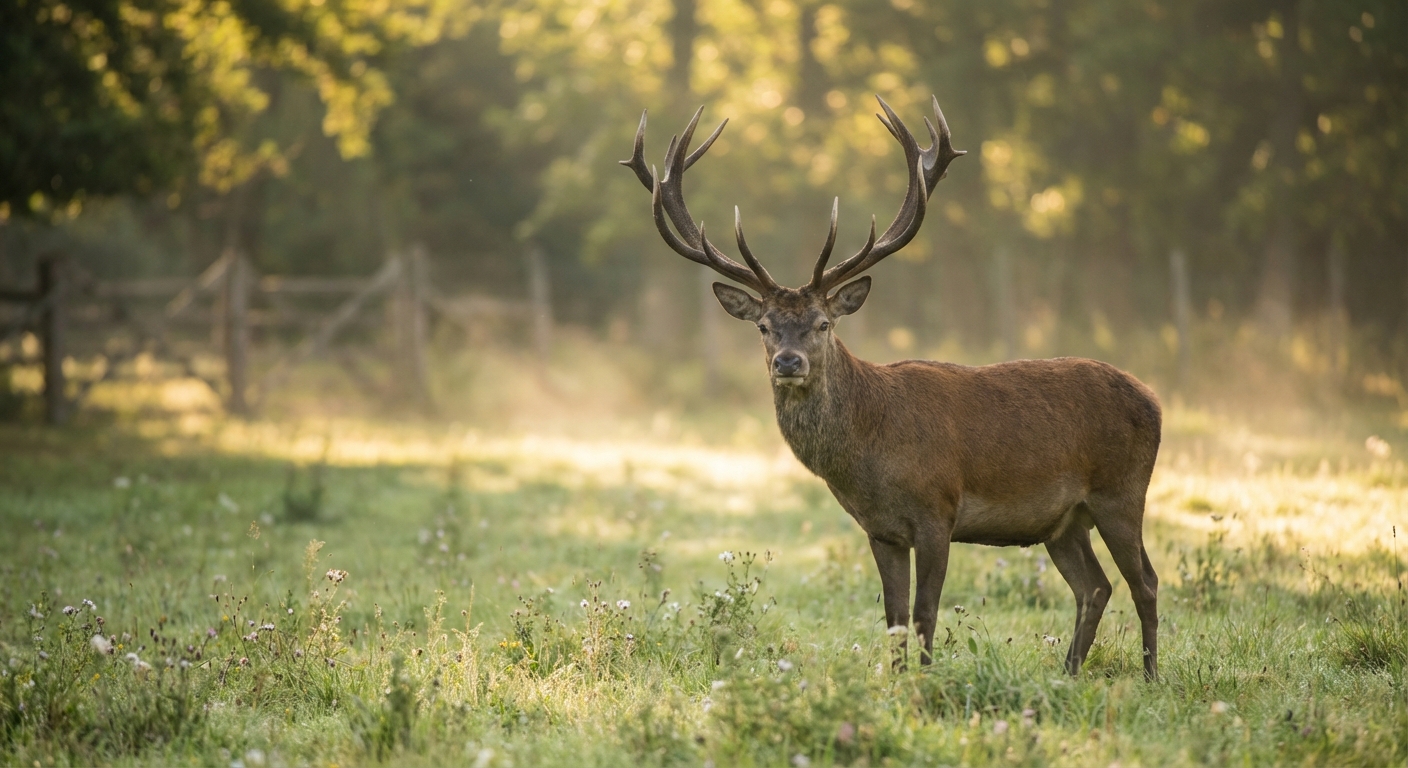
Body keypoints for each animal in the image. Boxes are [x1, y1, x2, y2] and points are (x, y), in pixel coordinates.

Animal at [620, 96, 1163, 680]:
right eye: (763, 326)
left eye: (823, 323)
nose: (788, 362)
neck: (871, 457)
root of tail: (1155, 400)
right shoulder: (879, 529)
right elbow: (895, 618)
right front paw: (899, 682)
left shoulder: (938, 511)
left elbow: (925, 613)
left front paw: (925, 683)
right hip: (1061, 522)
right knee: (1095, 586)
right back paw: (1068, 672)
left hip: (1122, 491)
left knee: (1145, 581)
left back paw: (1151, 676)